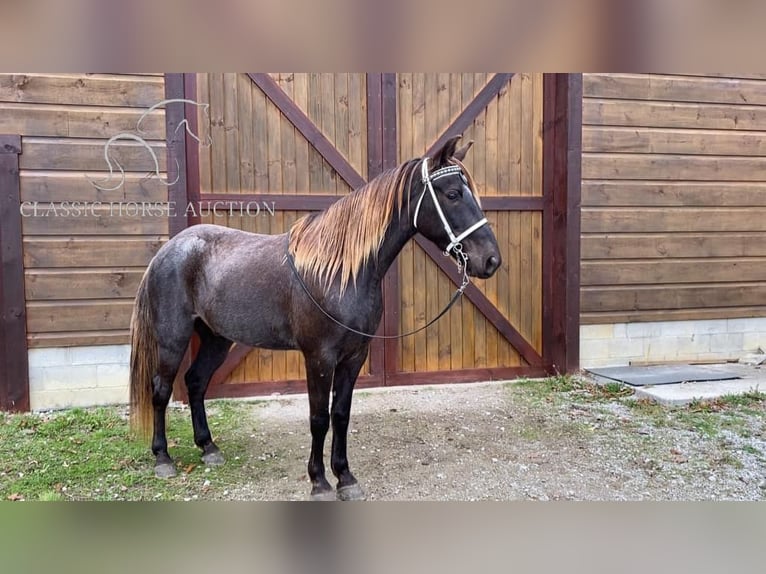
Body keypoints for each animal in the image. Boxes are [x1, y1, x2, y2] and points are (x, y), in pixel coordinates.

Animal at [130, 134, 504, 500]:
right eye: (453, 194)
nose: (491, 260)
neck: (341, 273)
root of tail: (168, 250)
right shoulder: (319, 358)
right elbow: (318, 418)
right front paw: (320, 482)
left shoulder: (354, 356)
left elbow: (340, 415)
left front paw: (346, 478)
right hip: (173, 338)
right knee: (161, 389)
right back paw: (163, 458)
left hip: (217, 339)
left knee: (195, 382)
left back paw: (208, 447)